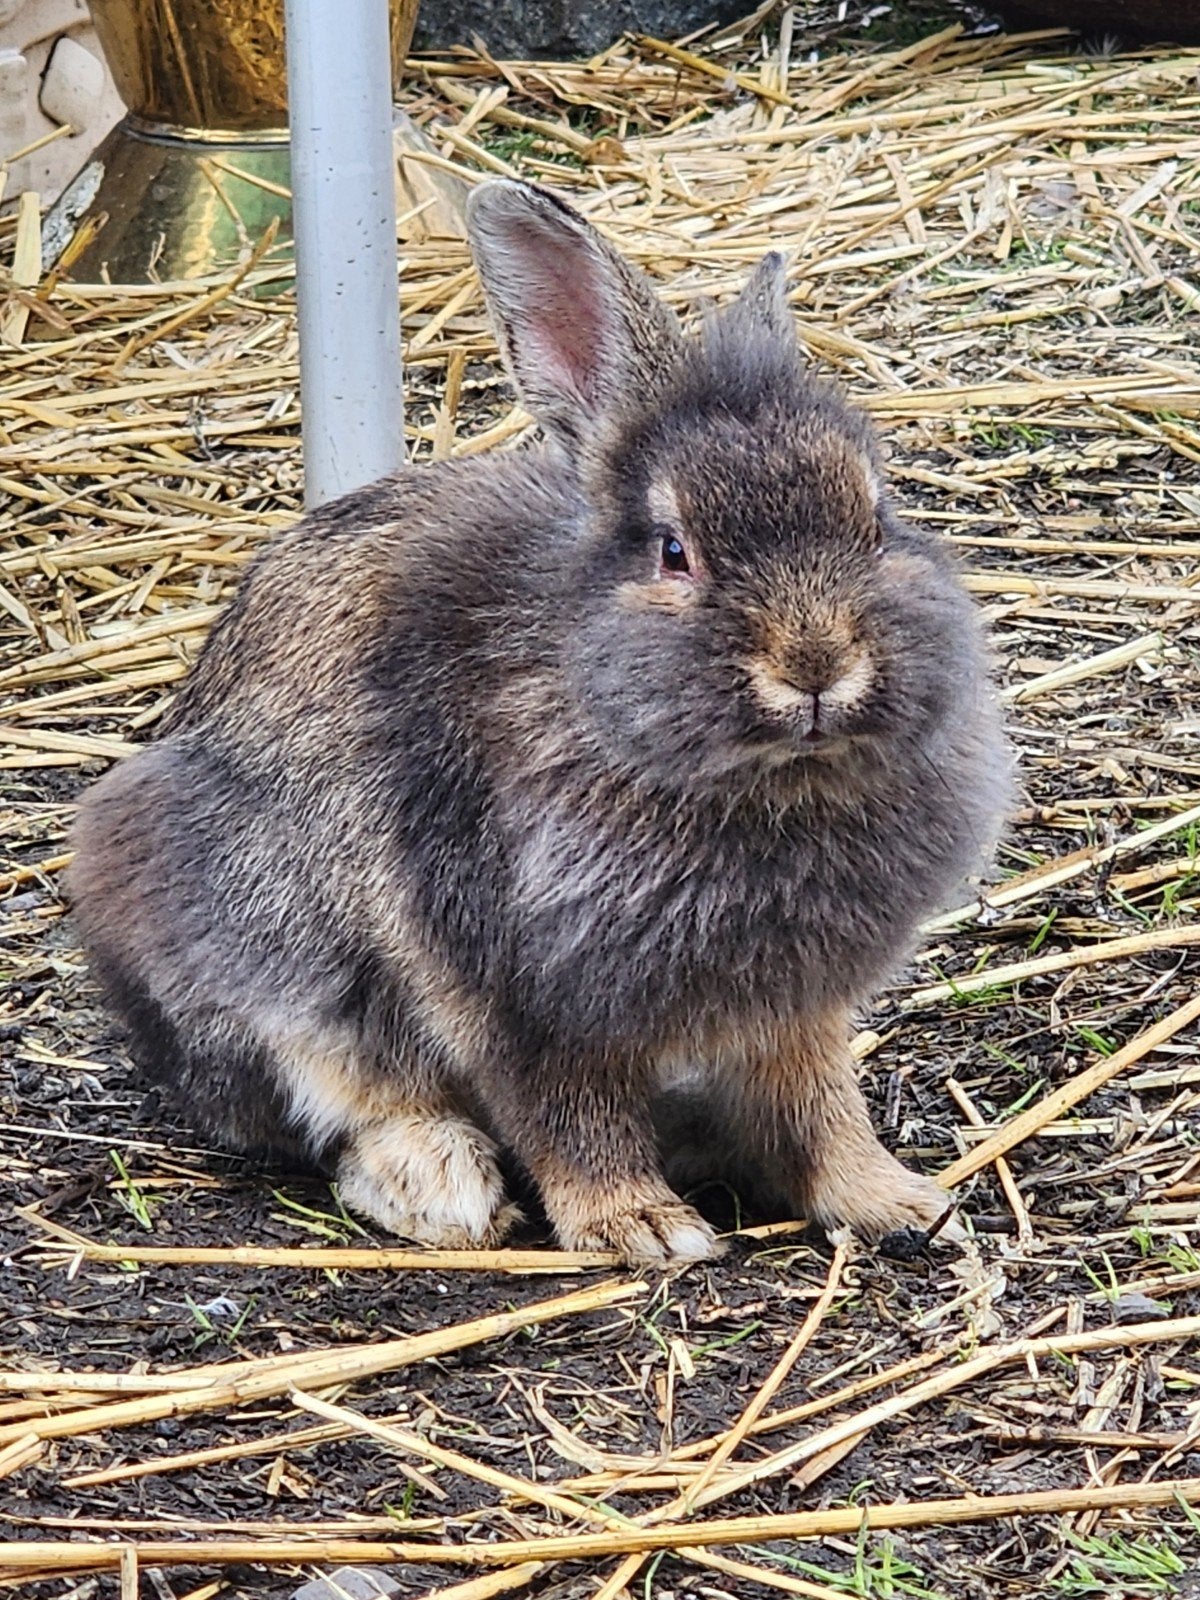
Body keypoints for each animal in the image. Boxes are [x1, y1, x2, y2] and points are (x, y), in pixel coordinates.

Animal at [67, 177, 1011, 1267]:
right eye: (674, 551)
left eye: (877, 517)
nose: (816, 667)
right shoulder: (512, 985)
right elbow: (567, 1112)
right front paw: (640, 1227)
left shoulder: (795, 1007)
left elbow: (822, 1105)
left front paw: (895, 1201)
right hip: (250, 942)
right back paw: (440, 1185)